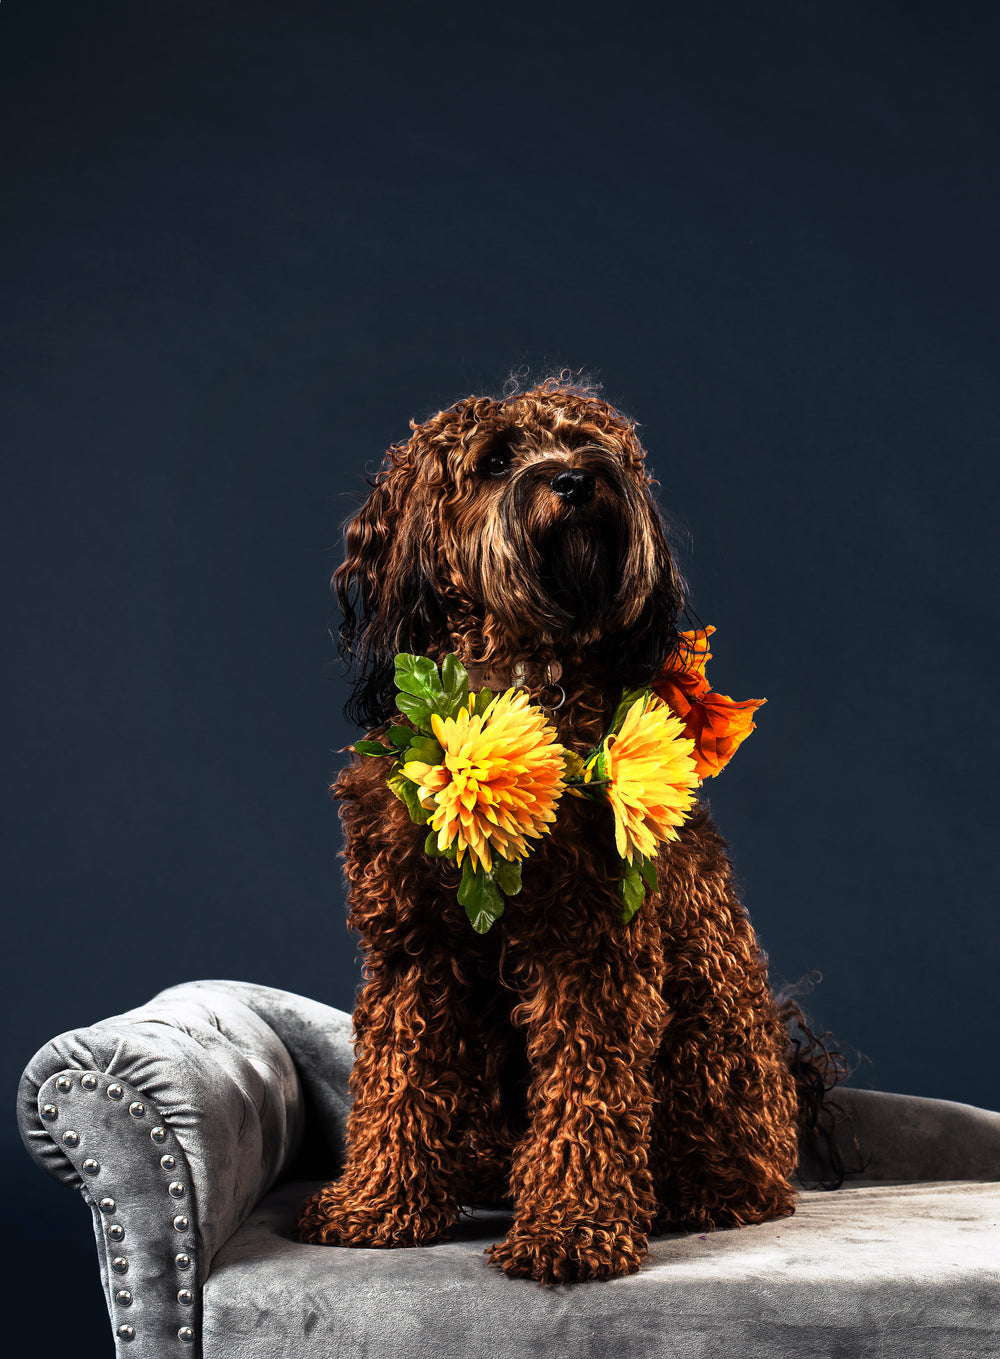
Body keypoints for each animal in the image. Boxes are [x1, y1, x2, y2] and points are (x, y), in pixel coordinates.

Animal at [296, 375, 798, 1282]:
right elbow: (395, 1076)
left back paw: (698, 1197)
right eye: (496, 459)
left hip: (714, 1029)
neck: (517, 676)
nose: (575, 479)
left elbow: (588, 1091)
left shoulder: (592, 947)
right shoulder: (413, 946)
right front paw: (376, 1203)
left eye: (591, 441)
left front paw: (572, 1229)